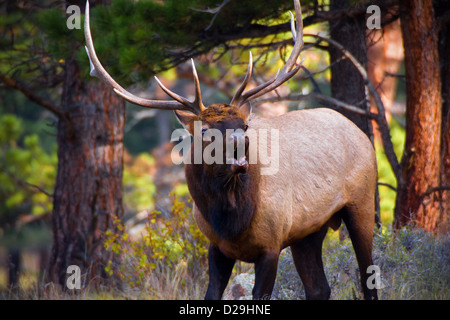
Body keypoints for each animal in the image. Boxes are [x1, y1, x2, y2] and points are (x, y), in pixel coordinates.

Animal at [85, 0, 380, 300]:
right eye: (205, 130)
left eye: (244, 124)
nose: (241, 142)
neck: (230, 222)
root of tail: (360, 133)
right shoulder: (217, 247)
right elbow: (211, 294)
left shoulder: (271, 243)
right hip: (308, 232)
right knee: (319, 288)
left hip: (363, 200)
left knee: (367, 274)